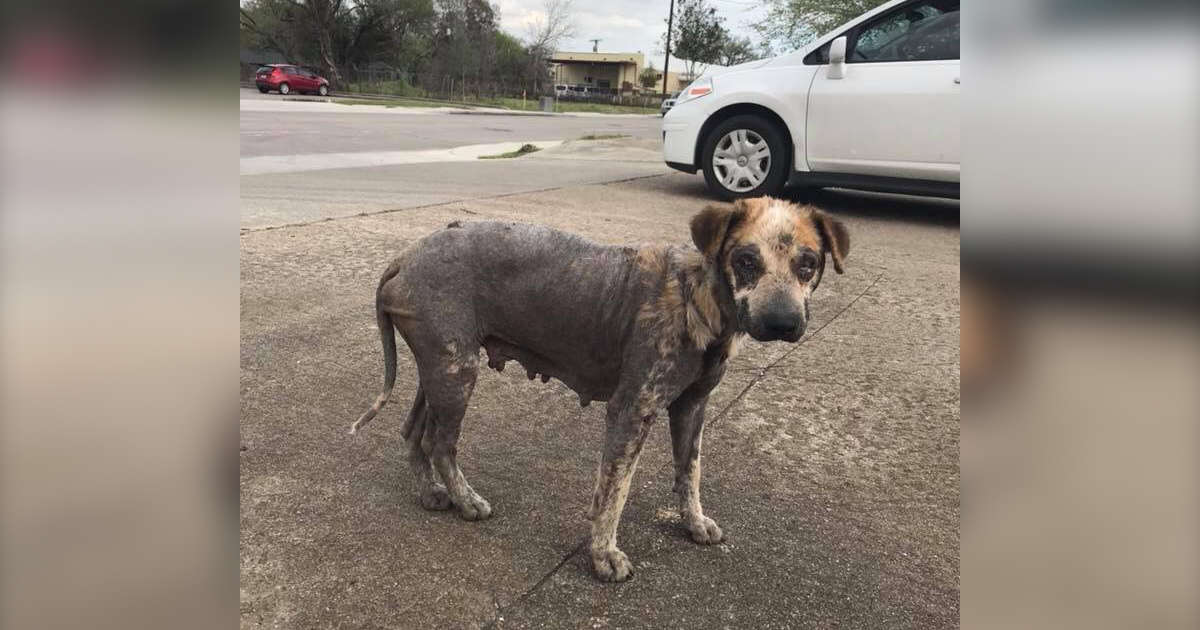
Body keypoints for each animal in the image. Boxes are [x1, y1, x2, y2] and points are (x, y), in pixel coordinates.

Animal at [350, 195, 849, 580]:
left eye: (808, 265)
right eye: (746, 261)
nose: (783, 322)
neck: (697, 295)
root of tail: (404, 257)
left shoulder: (692, 409)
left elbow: (690, 473)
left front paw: (693, 522)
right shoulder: (632, 410)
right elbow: (614, 492)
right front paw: (604, 555)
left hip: (439, 371)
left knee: (414, 432)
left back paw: (431, 493)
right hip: (457, 373)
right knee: (441, 444)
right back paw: (466, 500)